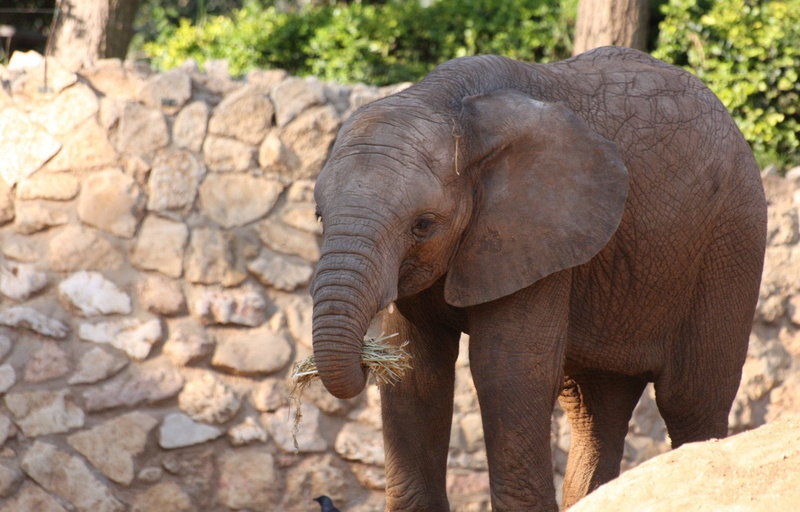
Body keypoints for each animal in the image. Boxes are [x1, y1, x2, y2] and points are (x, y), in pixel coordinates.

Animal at [309, 46, 767, 511]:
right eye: (319, 216)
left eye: (423, 225)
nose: (362, 359)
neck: (445, 102)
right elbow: (416, 373)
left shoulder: (538, 231)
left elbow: (507, 373)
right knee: (593, 408)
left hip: (731, 243)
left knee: (691, 400)